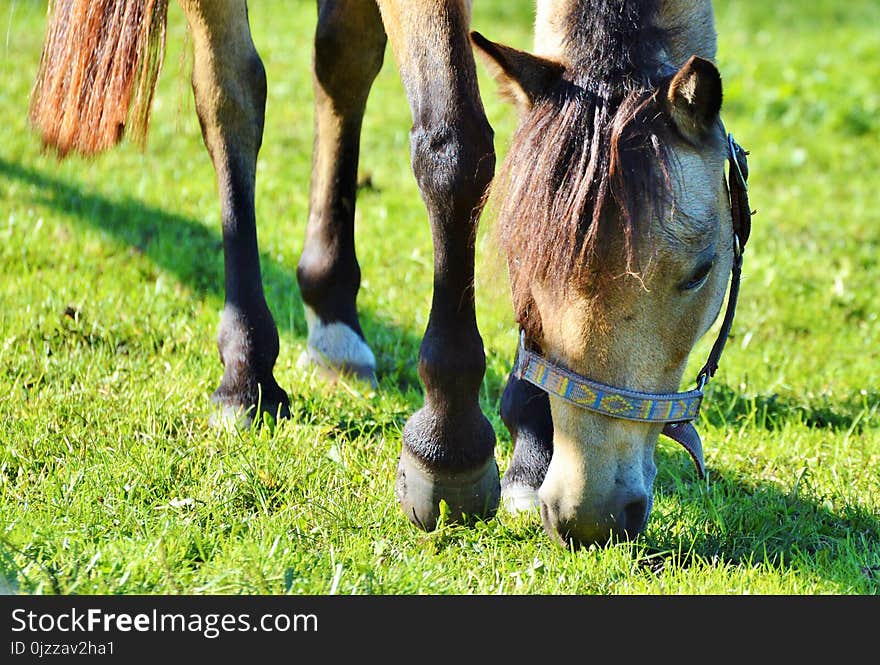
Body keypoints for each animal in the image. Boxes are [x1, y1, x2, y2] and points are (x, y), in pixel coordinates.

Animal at [31, 0, 752, 548]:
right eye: (522, 264)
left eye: (700, 271)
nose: (591, 512)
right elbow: (456, 148)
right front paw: (448, 446)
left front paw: (530, 443)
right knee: (230, 92)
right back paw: (246, 371)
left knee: (341, 56)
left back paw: (332, 315)